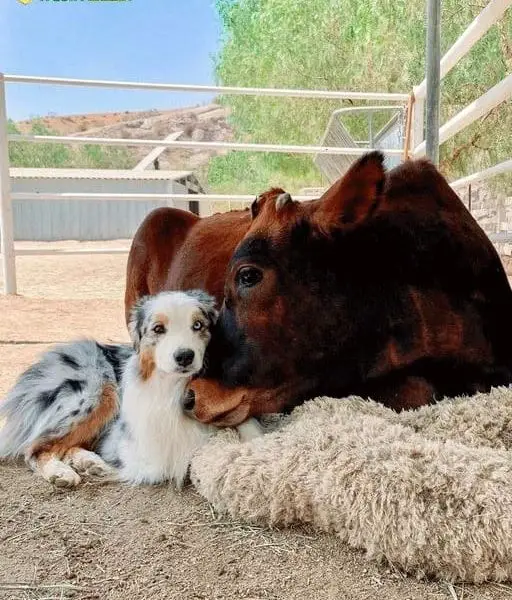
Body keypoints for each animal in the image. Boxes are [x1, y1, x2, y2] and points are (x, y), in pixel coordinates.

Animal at [0, 290, 262, 488]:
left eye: (198, 325)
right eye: (158, 329)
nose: (185, 356)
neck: (174, 386)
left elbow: (244, 421)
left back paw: (90, 462)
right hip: (96, 393)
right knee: (36, 447)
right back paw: (61, 473)